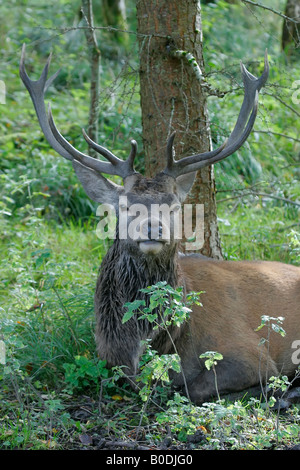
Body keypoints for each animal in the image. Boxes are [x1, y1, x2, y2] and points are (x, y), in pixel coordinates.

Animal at [20, 45, 300, 404]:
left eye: (174, 205)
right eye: (125, 205)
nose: (154, 227)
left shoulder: (251, 354)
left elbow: (195, 388)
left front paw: (272, 392)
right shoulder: (110, 360)